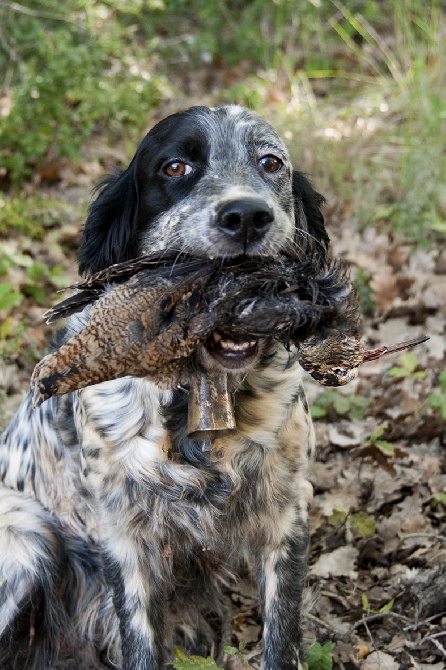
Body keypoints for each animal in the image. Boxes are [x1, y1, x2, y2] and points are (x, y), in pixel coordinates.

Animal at [0, 106, 332, 670]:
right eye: (175, 167)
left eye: (270, 162)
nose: (247, 216)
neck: (203, 394)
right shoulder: (123, 538)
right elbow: (139, 643)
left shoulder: (286, 513)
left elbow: (281, 636)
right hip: (26, 535)